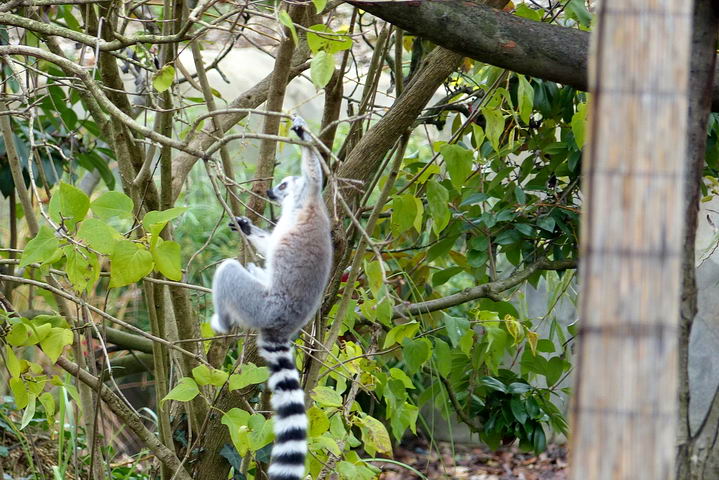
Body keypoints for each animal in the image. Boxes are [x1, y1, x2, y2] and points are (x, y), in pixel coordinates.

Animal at [211, 116, 332, 480]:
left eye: (281, 185)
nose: (268, 192)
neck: (300, 204)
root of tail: (282, 324)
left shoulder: (309, 193)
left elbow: (314, 172)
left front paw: (303, 135)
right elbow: (268, 243)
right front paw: (246, 227)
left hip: (260, 305)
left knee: (229, 271)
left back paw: (221, 320)